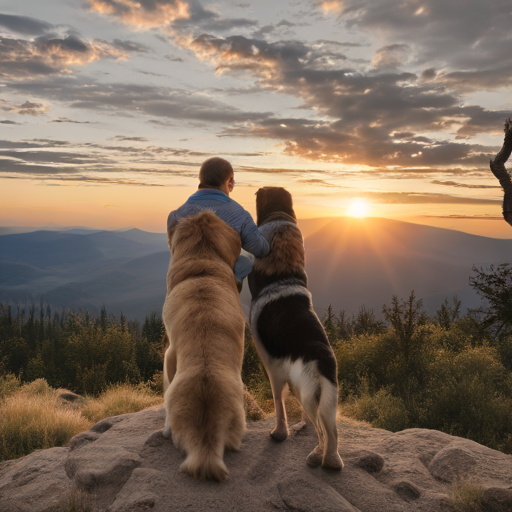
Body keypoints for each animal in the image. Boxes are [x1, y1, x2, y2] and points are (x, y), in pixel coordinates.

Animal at [249, 186, 344, 470]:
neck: (282, 277)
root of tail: (320, 355)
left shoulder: (273, 369)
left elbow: (279, 405)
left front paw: (279, 434)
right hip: (328, 397)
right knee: (332, 433)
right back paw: (330, 460)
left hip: (308, 393)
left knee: (323, 431)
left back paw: (315, 456)